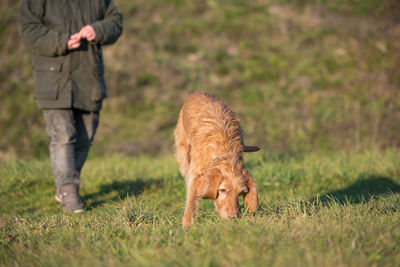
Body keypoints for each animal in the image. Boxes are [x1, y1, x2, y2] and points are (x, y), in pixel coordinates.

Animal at [175, 92, 260, 230]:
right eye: (222, 190)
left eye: (240, 193)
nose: (233, 217)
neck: (226, 153)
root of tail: (198, 92)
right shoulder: (195, 173)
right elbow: (191, 197)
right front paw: (187, 224)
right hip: (183, 153)